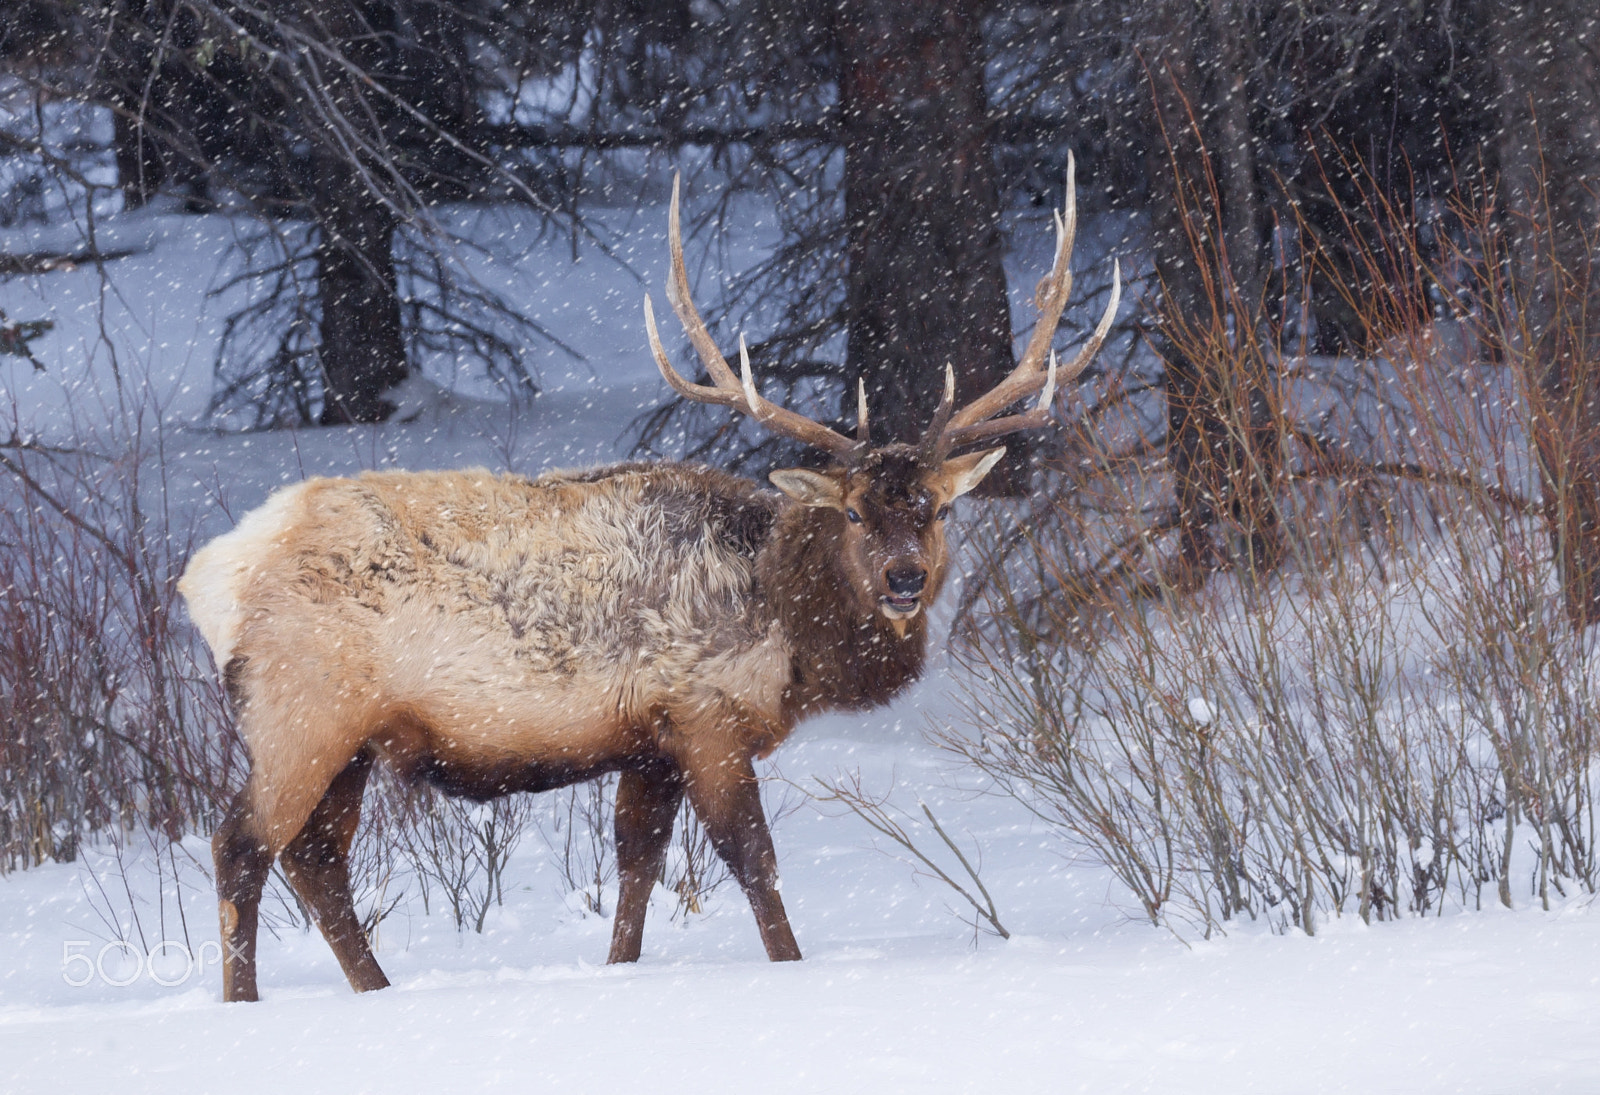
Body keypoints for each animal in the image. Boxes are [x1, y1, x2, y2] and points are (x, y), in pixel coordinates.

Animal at [179, 167, 1118, 1002]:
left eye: (935, 508)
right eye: (853, 511)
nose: (904, 577)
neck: (788, 629)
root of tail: (208, 575)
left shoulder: (648, 741)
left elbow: (636, 865)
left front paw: (621, 974)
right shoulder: (704, 714)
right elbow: (753, 860)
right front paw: (792, 967)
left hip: (348, 736)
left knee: (314, 857)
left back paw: (376, 990)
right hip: (301, 709)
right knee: (241, 844)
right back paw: (246, 1003)